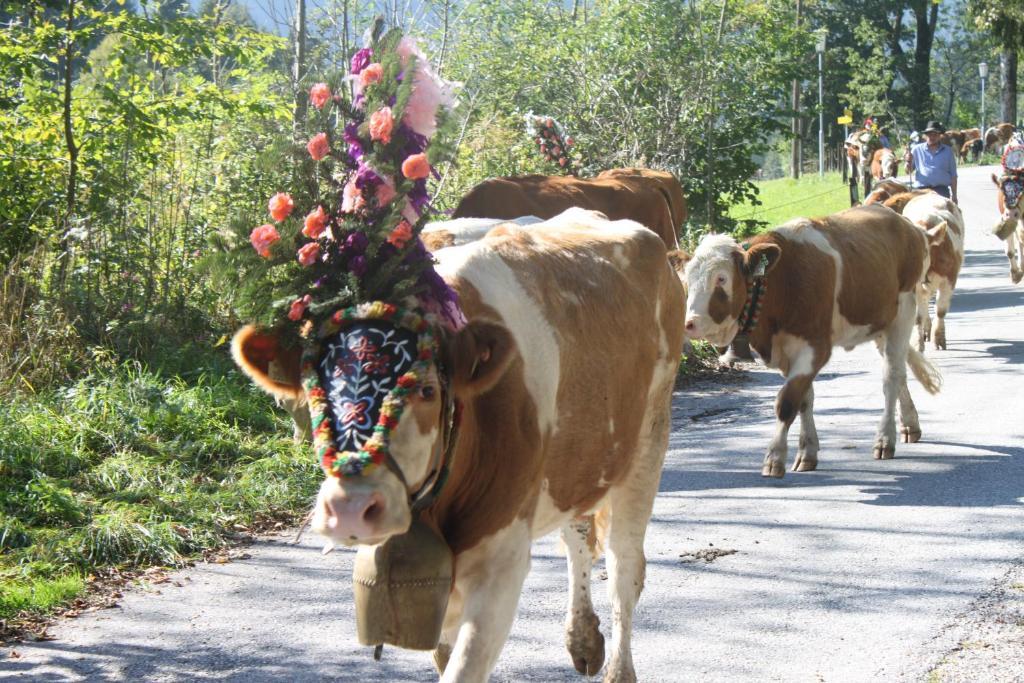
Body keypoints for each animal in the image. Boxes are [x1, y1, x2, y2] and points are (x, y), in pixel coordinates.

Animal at [679, 205, 942, 479]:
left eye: (721, 279)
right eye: (687, 280)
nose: (690, 323)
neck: (783, 281)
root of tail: (902, 221)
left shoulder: (815, 347)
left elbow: (786, 402)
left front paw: (774, 458)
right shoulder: (787, 352)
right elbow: (804, 399)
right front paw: (807, 453)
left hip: (904, 310)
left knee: (891, 377)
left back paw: (884, 439)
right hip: (880, 323)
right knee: (899, 371)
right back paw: (910, 425)